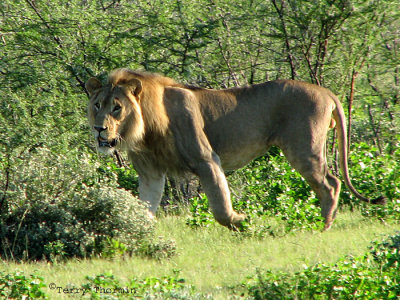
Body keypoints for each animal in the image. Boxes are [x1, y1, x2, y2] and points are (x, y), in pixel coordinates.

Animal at [86, 69, 386, 231]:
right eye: (97, 105)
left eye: (117, 108)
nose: (99, 129)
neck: (144, 129)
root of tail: (325, 91)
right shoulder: (150, 173)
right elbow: (144, 209)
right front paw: (140, 236)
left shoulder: (207, 159)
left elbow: (220, 206)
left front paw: (243, 221)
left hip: (303, 149)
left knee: (331, 184)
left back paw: (321, 227)